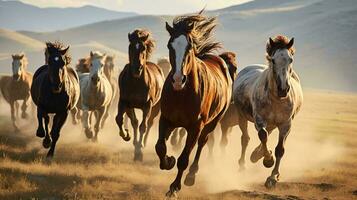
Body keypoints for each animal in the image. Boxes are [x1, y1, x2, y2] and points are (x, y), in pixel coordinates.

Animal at [115, 28, 164, 162]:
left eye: (143, 47)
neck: (136, 82)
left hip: (156, 107)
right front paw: (126, 135)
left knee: (149, 122)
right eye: (131, 47)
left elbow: (143, 126)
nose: (137, 68)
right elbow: (120, 119)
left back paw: (143, 143)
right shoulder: (125, 102)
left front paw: (139, 152)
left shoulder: (147, 105)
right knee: (134, 122)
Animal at [154, 12, 232, 197]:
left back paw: (191, 175)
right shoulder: (165, 119)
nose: (177, 80)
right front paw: (168, 161)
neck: (181, 94)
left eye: (189, 47)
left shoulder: (195, 127)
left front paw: (174, 187)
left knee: (202, 142)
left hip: (212, 122)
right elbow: (160, 147)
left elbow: (183, 159)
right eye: (170, 46)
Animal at [232, 35, 302, 188]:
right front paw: (268, 160)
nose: (283, 89)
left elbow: (279, 149)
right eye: (273, 60)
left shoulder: (286, 124)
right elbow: (263, 136)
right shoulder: (259, 120)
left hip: (274, 123)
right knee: (246, 139)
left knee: (267, 133)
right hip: (242, 116)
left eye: (291, 59)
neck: (276, 99)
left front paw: (273, 177)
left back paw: (256, 155)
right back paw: (244, 164)